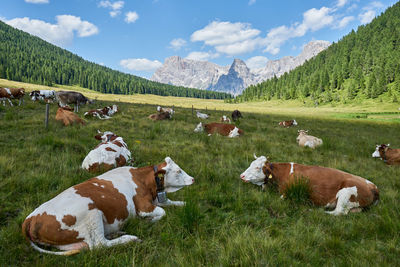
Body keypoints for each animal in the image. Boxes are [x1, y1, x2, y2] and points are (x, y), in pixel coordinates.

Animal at [22, 158, 195, 256]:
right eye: (178, 171)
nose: (193, 179)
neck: (146, 181)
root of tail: (30, 218)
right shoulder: (143, 206)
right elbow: (163, 212)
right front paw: (147, 221)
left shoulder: (155, 199)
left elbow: (170, 203)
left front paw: (184, 203)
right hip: (91, 214)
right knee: (99, 245)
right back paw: (128, 238)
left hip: (67, 241)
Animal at [239, 156, 380, 217]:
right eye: (251, 164)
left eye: (257, 167)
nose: (241, 176)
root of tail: (374, 186)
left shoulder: (285, 194)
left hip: (346, 193)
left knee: (338, 212)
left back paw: (311, 210)